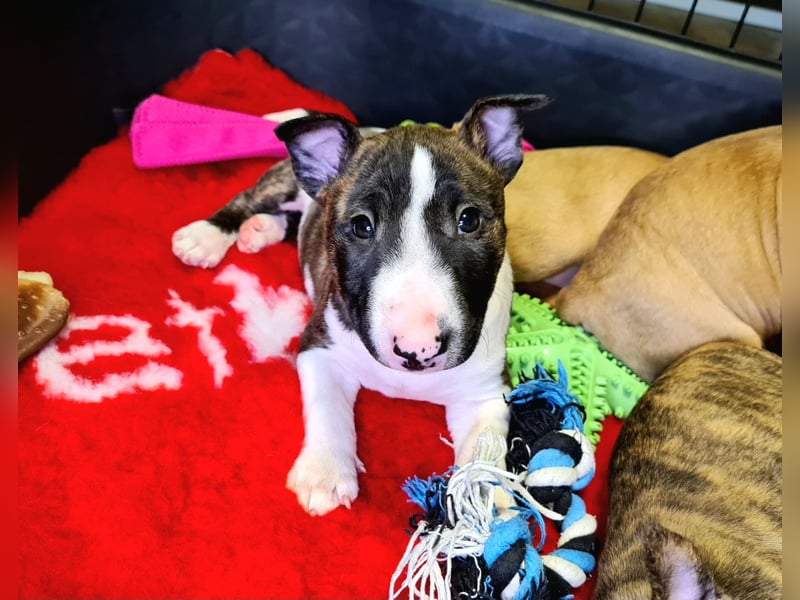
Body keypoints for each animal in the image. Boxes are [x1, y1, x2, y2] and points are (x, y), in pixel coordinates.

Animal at [262, 95, 552, 516]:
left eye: (469, 219)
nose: (418, 349)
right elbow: (326, 405)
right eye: (362, 226)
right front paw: (324, 474)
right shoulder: (320, 345)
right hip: (280, 183)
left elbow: (484, 449)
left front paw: (485, 503)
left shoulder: (484, 391)